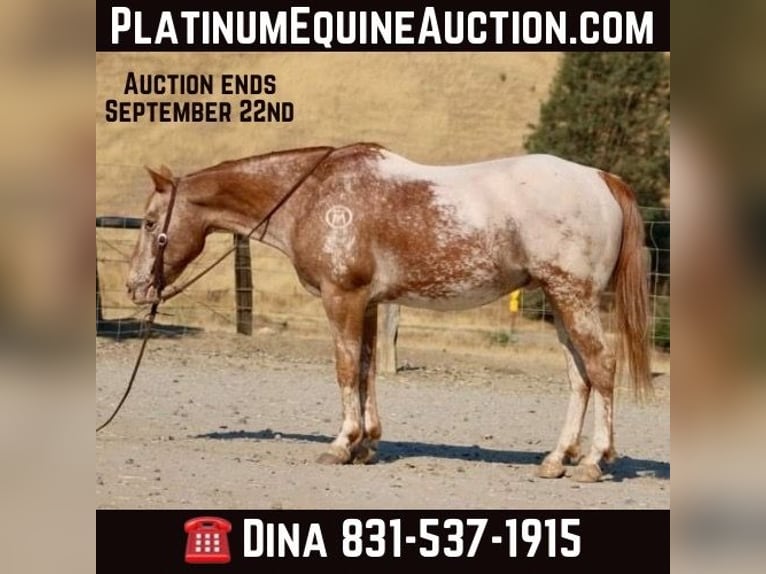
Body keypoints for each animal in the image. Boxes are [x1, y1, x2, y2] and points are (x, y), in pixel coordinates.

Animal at [126, 143, 651, 483]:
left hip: (574, 298)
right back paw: (557, 459)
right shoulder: (369, 303)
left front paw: (342, 444)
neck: (316, 195)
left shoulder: (342, 298)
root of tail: (601, 178)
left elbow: (344, 369)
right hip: (562, 305)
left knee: (602, 367)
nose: (134, 286)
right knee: (580, 378)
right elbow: (366, 370)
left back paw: (593, 461)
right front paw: (367, 444)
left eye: (150, 223)